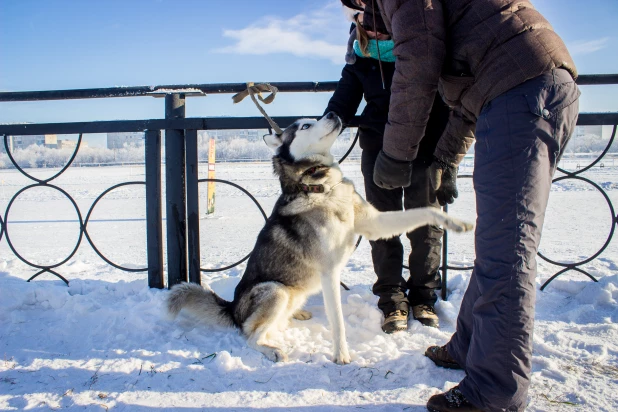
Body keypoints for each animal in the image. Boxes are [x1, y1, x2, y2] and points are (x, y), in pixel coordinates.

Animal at [167, 112, 472, 364]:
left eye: (314, 118)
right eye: (305, 126)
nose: (333, 113)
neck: (321, 187)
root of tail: (232, 309)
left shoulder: (374, 224)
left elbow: (423, 212)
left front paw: (456, 222)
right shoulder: (329, 272)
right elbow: (337, 321)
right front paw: (341, 354)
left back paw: (295, 314)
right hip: (274, 289)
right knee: (250, 334)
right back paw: (272, 349)